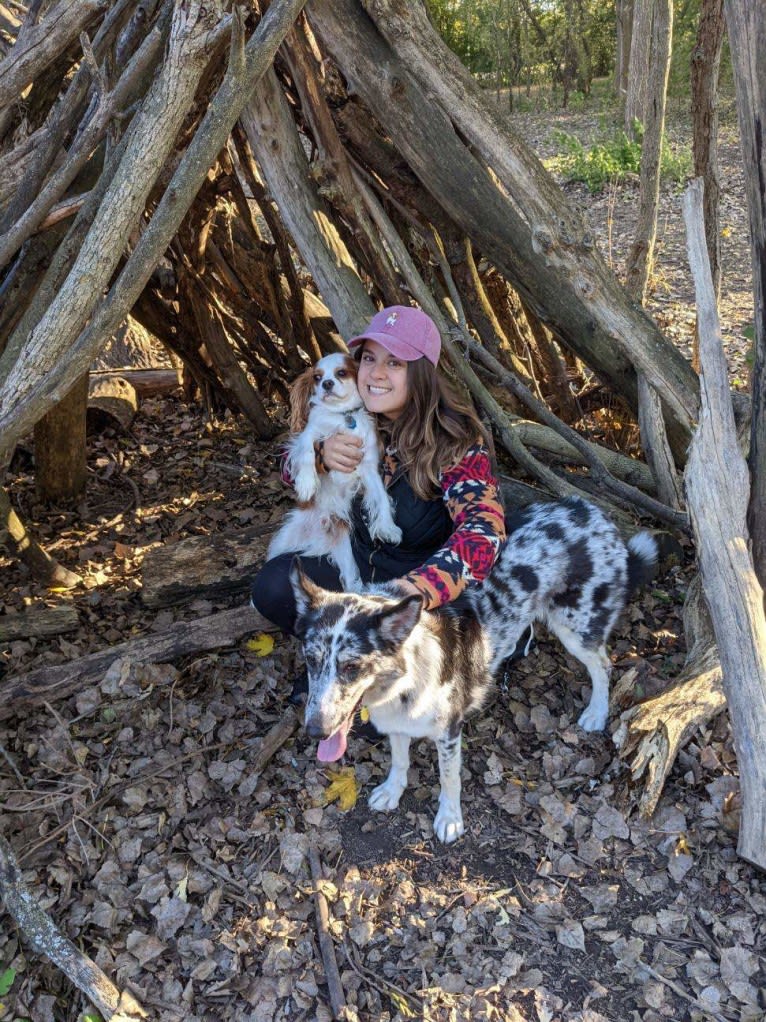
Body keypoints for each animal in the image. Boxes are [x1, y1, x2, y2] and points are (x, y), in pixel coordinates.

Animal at [267, 355, 402, 588]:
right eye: (317, 377)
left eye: (341, 373)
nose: (326, 384)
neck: (342, 416)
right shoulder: (307, 435)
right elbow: (307, 451)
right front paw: (306, 483)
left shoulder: (369, 468)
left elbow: (382, 498)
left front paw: (387, 526)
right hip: (284, 541)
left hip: (344, 549)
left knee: (350, 579)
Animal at [294, 498, 661, 842]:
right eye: (311, 659)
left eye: (352, 666)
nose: (314, 731)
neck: (403, 678)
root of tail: (594, 513)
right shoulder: (398, 721)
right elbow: (399, 759)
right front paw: (393, 790)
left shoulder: (449, 730)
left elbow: (449, 777)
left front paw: (449, 818)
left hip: (576, 627)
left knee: (602, 665)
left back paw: (597, 712)